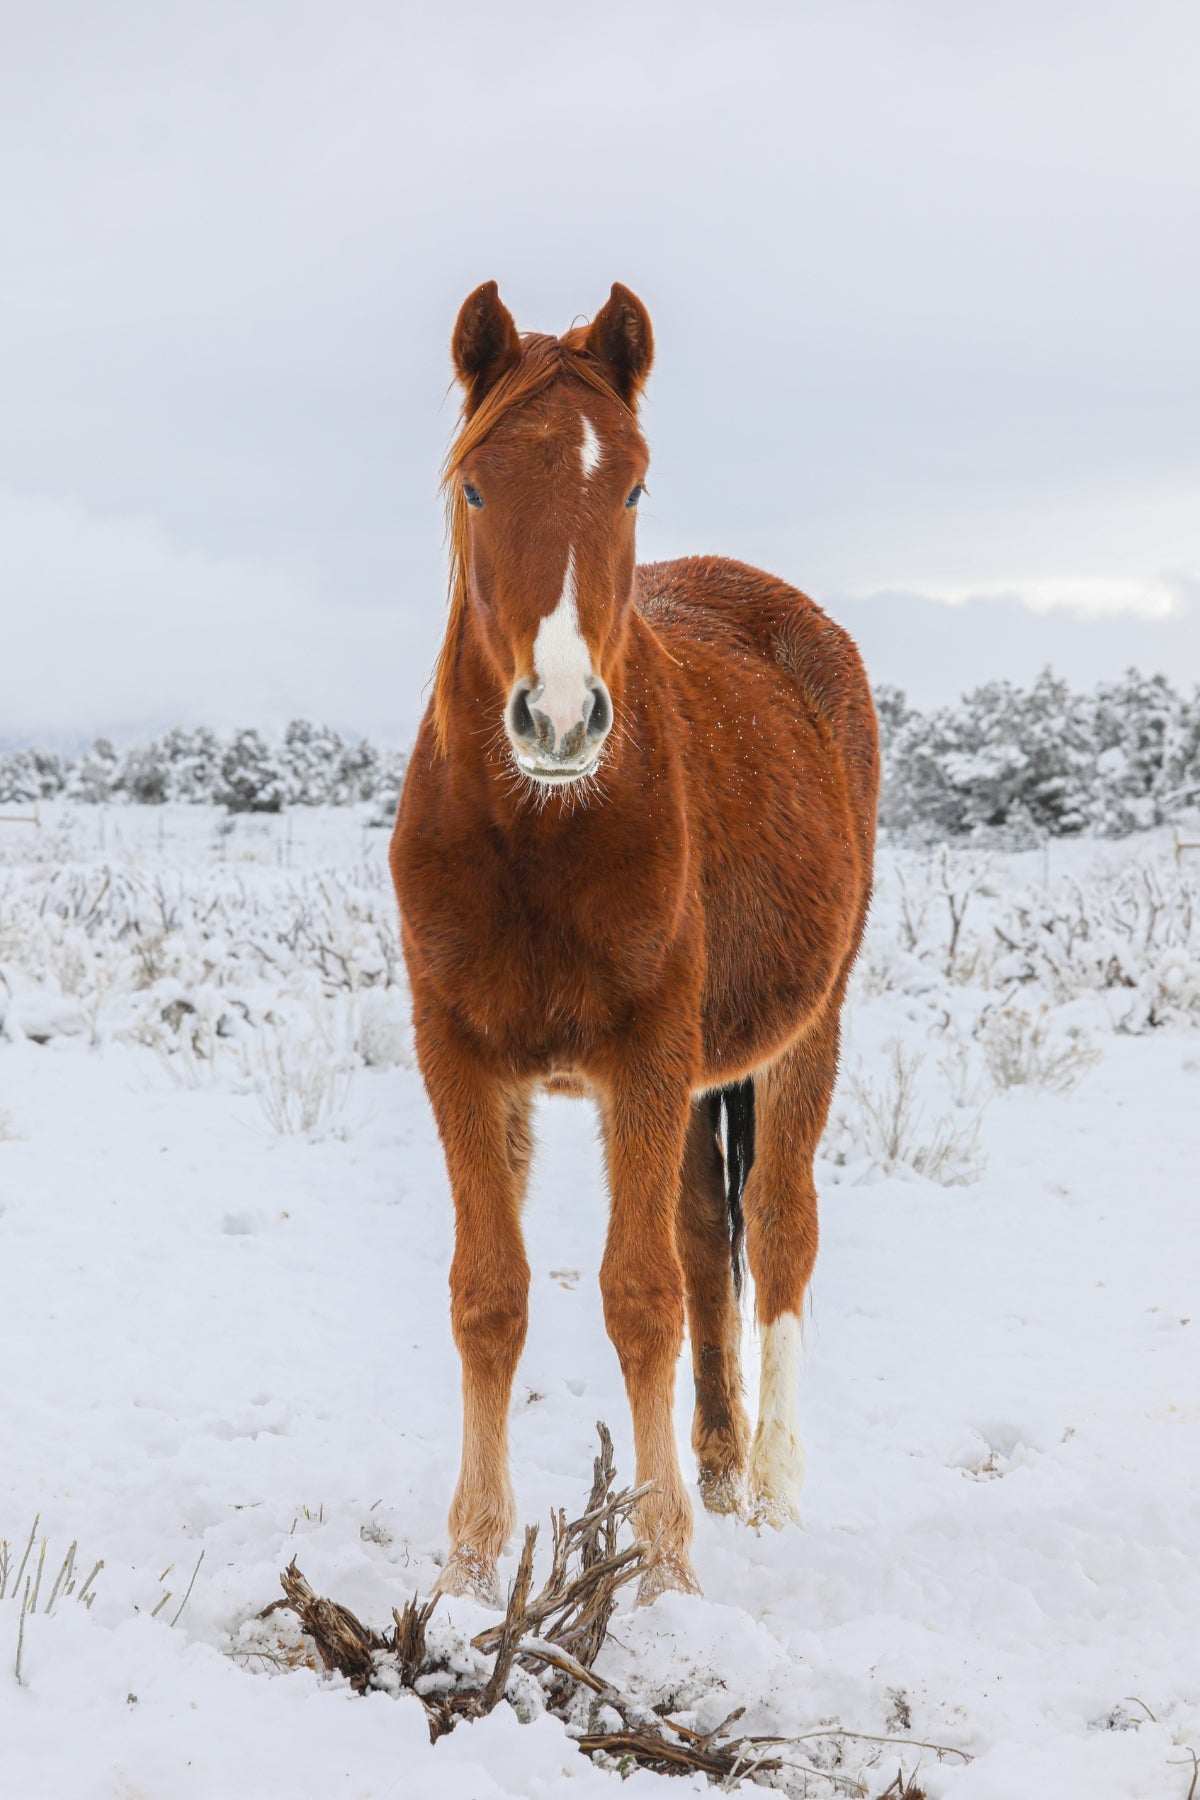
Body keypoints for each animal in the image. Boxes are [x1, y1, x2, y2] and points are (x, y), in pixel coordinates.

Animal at [394, 280, 881, 1605]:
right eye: (474, 486)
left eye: (632, 487)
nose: (559, 718)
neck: (538, 833)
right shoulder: (459, 1054)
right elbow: (490, 1294)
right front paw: (470, 1561)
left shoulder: (647, 1054)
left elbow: (641, 1295)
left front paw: (662, 1568)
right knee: (714, 1239)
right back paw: (715, 1467)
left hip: (804, 1034)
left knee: (778, 1227)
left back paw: (769, 1488)